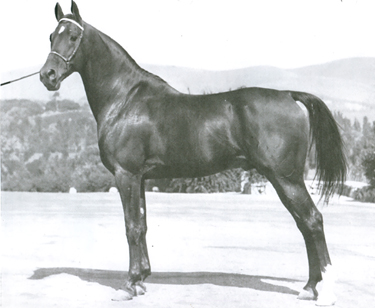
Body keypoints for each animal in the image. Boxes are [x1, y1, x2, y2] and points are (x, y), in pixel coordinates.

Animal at [40, 1, 346, 306]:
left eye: (73, 37)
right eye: (51, 36)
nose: (47, 76)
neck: (125, 99)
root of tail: (289, 95)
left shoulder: (126, 175)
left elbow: (131, 227)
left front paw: (128, 285)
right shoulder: (140, 178)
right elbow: (142, 225)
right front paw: (141, 280)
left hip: (286, 178)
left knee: (312, 221)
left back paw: (324, 291)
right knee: (304, 224)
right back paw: (309, 287)